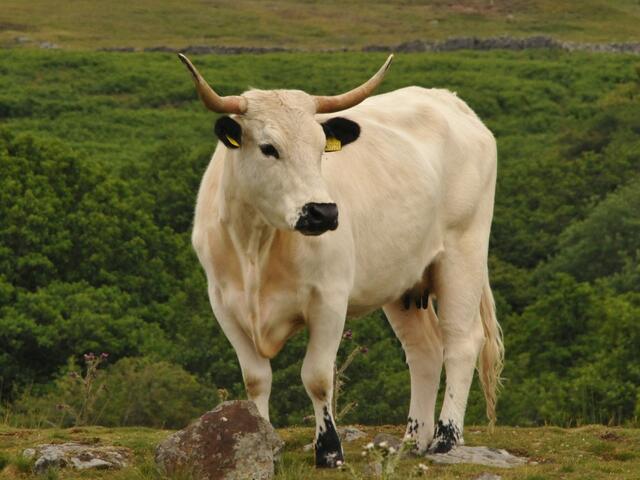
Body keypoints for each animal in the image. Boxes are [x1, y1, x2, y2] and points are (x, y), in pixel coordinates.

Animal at [180, 53, 504, 468]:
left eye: (322, 148)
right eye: (268, 147)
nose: (323, 212)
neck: (256, 244)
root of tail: (450, 100)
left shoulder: (329, 300)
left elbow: (317, 377)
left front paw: (330, 450)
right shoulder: (224, 303)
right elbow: (256, 379)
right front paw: (262, 442)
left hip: (464, 252)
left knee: (461, 342)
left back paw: (446, 439)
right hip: (402, 281)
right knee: (425, 351)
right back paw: (411, 440)